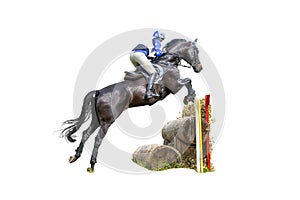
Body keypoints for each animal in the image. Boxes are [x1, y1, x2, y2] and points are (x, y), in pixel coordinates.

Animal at [61, 38, 202, 172]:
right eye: (196, 51)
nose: (199, 68)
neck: (167, 61)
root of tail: (99, 92)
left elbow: (188, 81)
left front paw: (190, 97)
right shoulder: (174, 85)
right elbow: (188, 81)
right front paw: (190, 97)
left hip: (97, 120)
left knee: (86, 133)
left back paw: (76, 156)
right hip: (107, 120)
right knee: (98, 138)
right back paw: (92, 164)